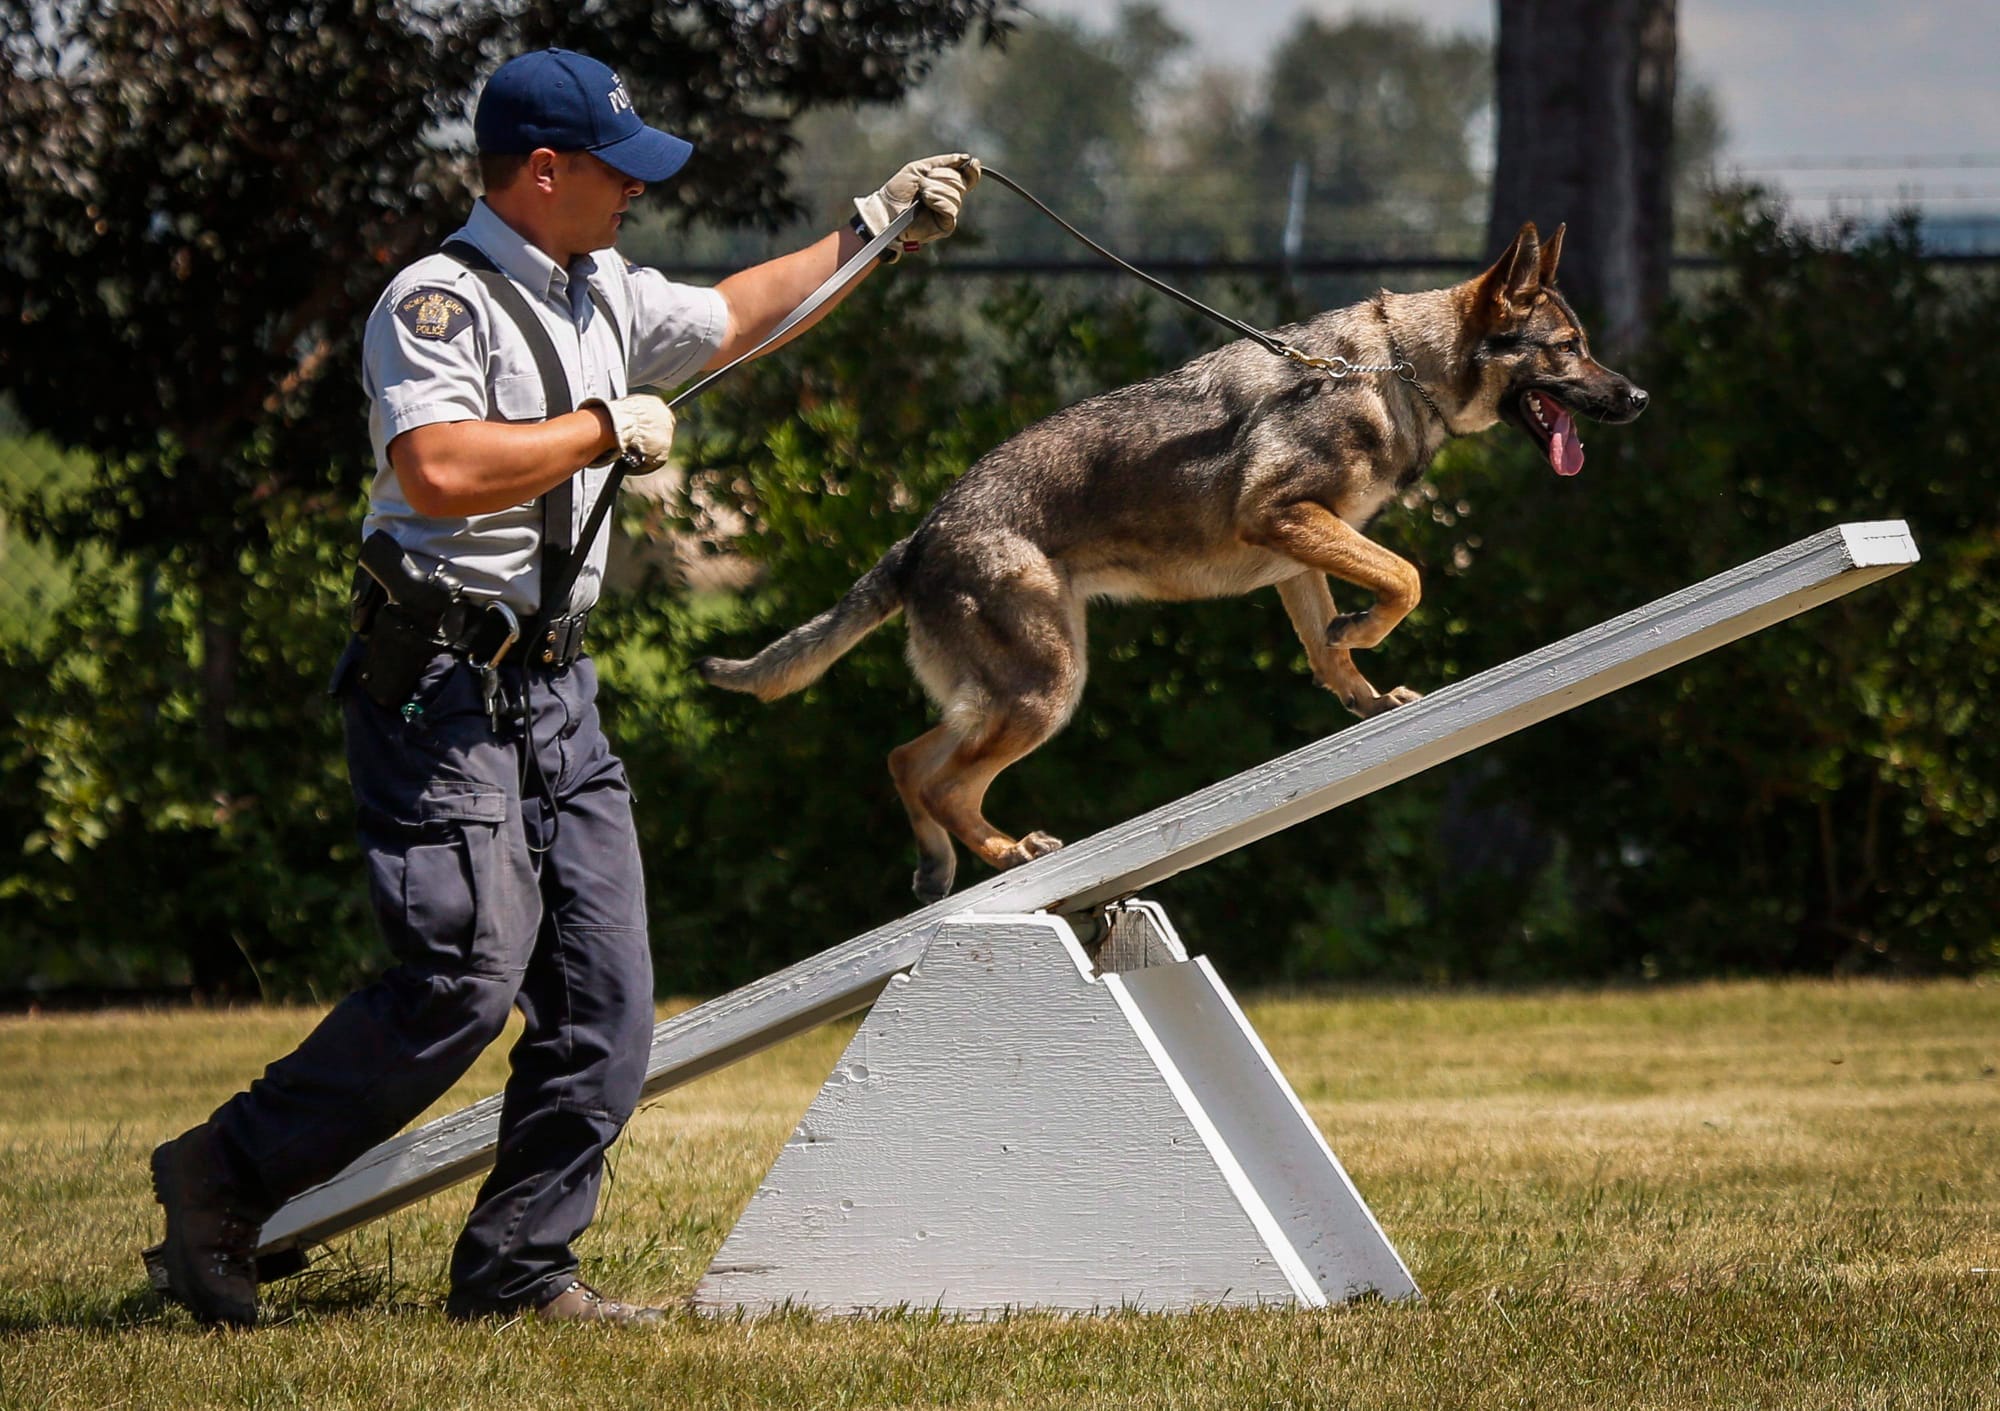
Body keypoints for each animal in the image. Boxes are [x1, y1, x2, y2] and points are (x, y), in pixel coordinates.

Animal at [696, 223, 1648, 895]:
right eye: (1568, 350)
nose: (1639, 396)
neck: (1395, 367)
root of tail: (921, 534)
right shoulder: (1286, 516)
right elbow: (1406, 578)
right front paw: (1366, 631)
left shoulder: (1297, 549)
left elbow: (1326, 644)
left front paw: (1366, 693)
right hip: (1048, 689)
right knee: (946, 785)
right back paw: (1007, 849)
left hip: (1005, 693)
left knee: (906, 760)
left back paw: (941, 866)